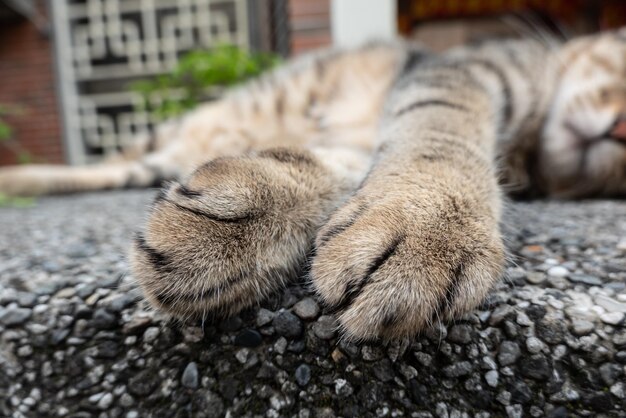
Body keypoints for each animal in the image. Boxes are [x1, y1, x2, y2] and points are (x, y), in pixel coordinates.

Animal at [1, 27, 624, 340]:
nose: (618, 129)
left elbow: (344, 167)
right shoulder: (462, 71)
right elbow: (440, 127)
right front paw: (427, 219)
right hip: (173, 129)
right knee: (118, 157)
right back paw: (17, 177)